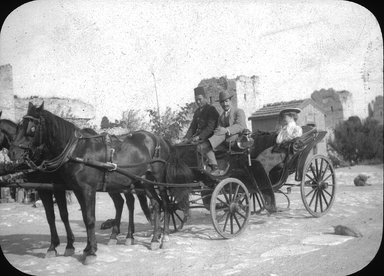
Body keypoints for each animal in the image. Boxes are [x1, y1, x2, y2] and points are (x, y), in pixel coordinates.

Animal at [9, 102, 194, 264]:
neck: (77, 150)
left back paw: (163, 237)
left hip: (158, 180)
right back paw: (154, 238)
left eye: (31, 128)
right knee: (154, 204)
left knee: (165, 204)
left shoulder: (86, 190)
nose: (12, 152)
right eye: (19, 126)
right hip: (144, 182)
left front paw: (90, 252)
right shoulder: (76, 190)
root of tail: (160, 138)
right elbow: (80, 217)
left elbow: (90, 219)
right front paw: (85, 248)